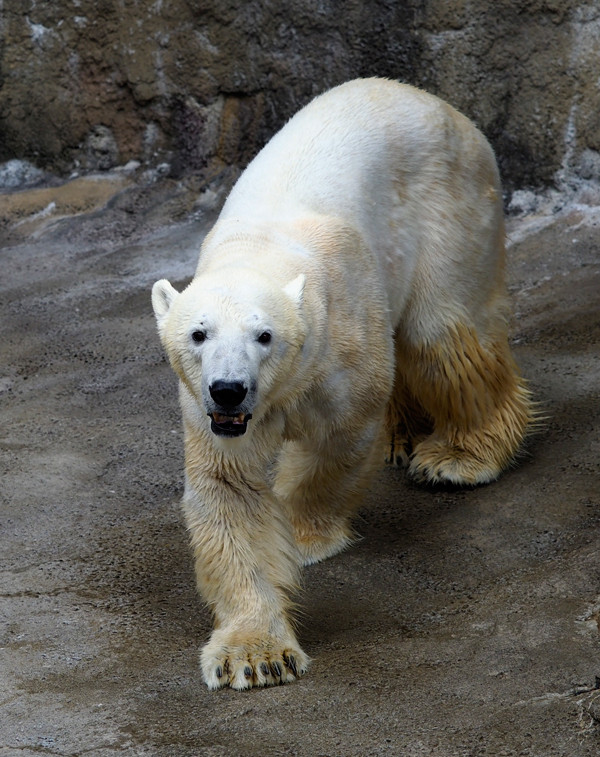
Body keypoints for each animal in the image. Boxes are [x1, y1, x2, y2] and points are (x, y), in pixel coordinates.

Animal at [152, 78, 532, 692]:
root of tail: (436, 102)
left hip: (450, 208)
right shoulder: (204, 410)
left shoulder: (341, 343)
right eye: (198, 333)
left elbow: (339, 439)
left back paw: (459, 455)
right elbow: (230, 493)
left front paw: (303, 534)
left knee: (442, 335)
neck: (261, 250)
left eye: (265, 335)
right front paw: (253, 655)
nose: (229, 389)